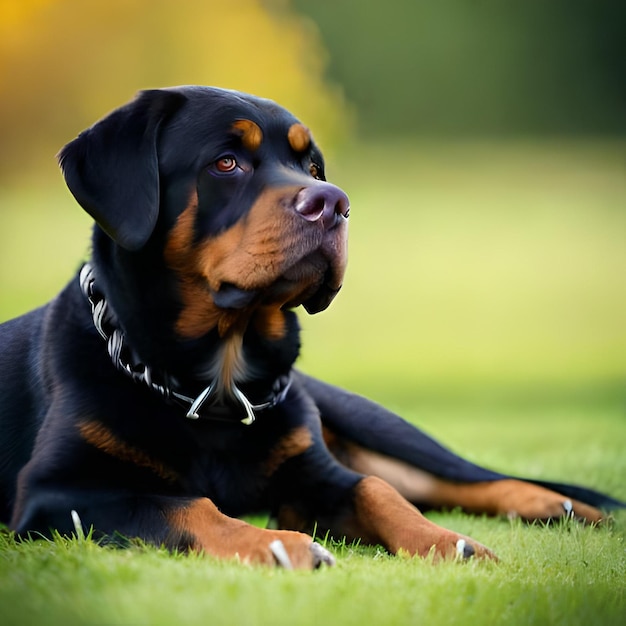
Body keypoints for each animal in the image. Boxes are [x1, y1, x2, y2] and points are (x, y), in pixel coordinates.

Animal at [0, 85, 620, 568]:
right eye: (227, 162)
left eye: (313, 167)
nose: (334, 202)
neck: (218, 377)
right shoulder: (58, 494)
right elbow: (186, 505)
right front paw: (280, 546)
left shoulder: (316, 474)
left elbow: (378, 492)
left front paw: (451, 543)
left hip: (374, 424)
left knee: (453, 478)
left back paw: (561, 506)